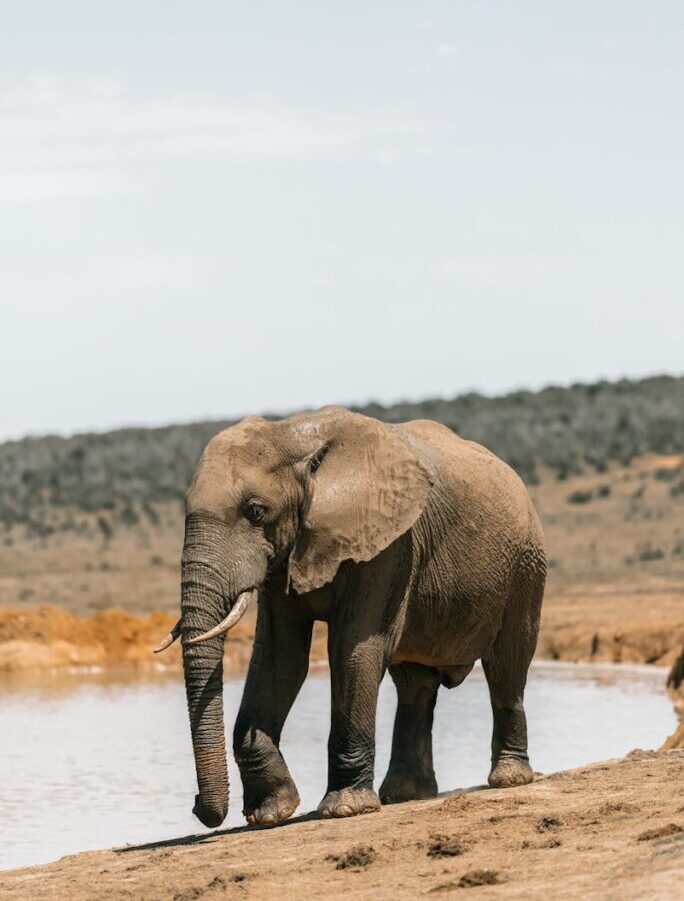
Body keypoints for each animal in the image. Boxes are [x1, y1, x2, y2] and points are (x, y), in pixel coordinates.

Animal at [154, 405, 546, 828]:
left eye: (256, 512)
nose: (197, 806)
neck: (291, 435)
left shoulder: (388, 545)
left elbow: (353, 650)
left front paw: (344, 809)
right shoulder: (287, 555)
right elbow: (280, 658)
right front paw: (271, 813)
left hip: (526, 565)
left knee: (507, 666)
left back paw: (508, 778)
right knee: (415, 686)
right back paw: (405, 795)